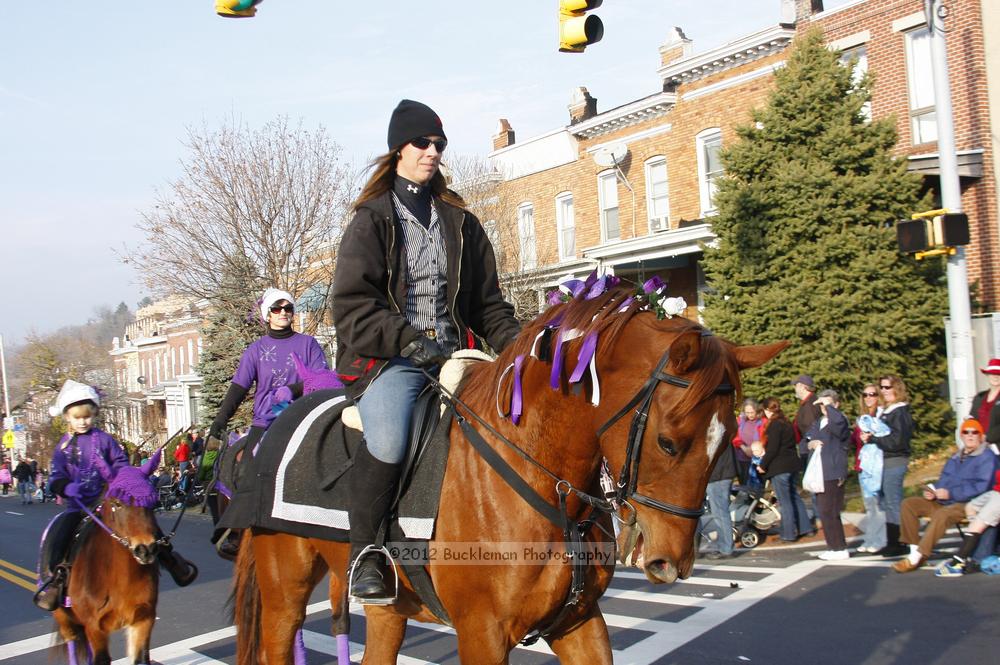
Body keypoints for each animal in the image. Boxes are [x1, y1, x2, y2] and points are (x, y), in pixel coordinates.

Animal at [52, 452, 162, 664]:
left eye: (154, 502)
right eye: (117, 503)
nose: (146, 549)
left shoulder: (143, 619)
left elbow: (140, 658)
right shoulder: (95, 627)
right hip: (64, 618)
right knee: (73, 642)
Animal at [230, 282, 784, 660]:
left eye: (725, 441)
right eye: (669, 442)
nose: (673, 563)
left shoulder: (580, 623)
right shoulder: (483, 634)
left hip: (388, 609)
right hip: (284, 597)